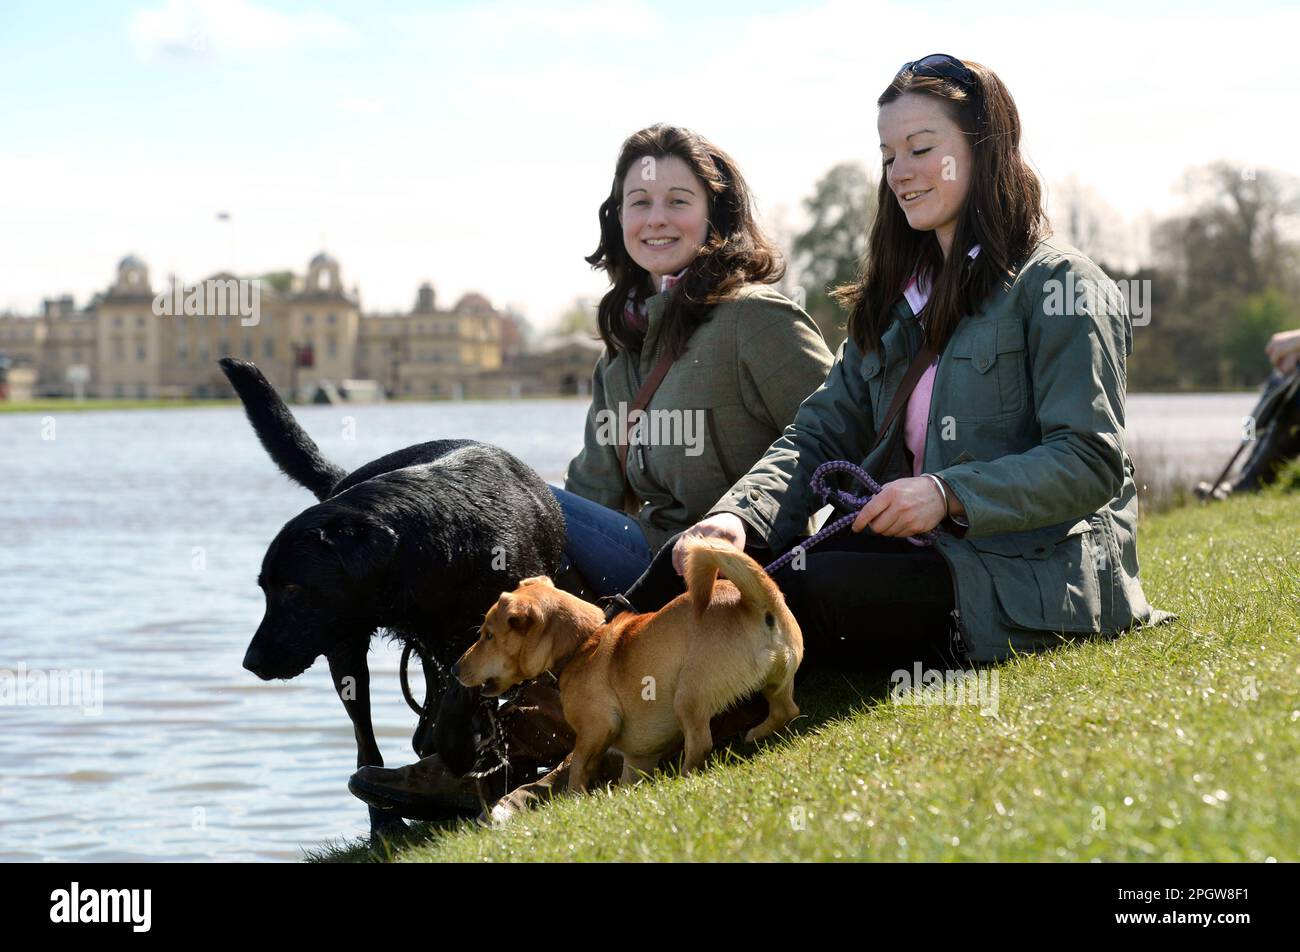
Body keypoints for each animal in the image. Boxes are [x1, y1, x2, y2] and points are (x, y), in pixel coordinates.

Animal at [219, 358, 569, 842]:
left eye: (291, 590)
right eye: (266, 590)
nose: (251, 662)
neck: (446, 543)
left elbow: (466, 693)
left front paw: (469, 751)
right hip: (346, 651)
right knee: (365, 738)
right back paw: (386, 816)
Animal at [454, 538, 800, 790]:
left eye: (487, 635)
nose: (455, 669)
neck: (583, 643)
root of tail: (755, 603)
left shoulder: (597, 727)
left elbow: (578, 765)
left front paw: (577, 796)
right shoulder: (638, 755)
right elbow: (626, 777)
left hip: (688, 695)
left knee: (700, 743)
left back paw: (682, 778)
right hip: (777, 681)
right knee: (786, 710)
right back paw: (756, 733)